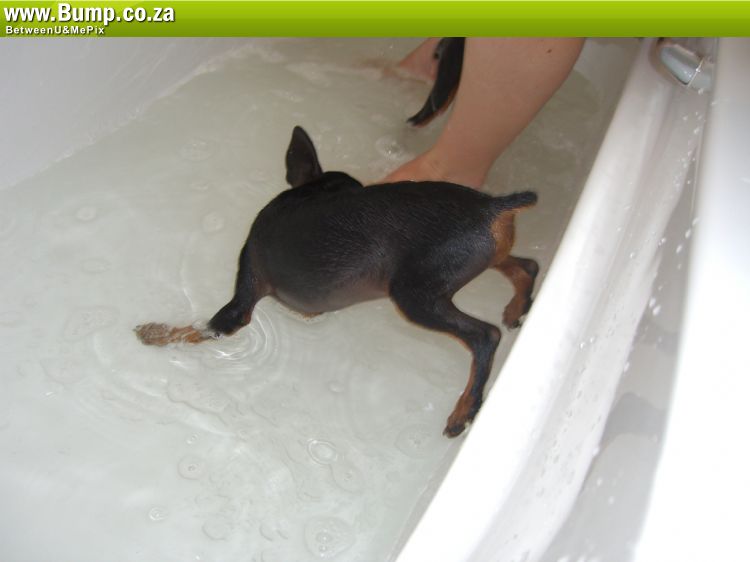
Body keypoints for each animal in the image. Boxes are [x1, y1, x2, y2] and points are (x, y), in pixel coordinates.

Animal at [135, 126, 538, 437]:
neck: (304, 194)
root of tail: (492, 207)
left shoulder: (242, 297)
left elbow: (197, 330)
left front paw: (155, 334)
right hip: (479, 261)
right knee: (527, 266)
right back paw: (518, 306)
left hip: (415, 295)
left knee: (485, 335)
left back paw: (465, 409)